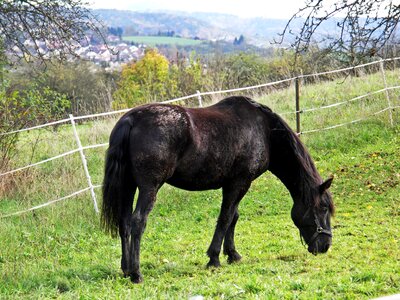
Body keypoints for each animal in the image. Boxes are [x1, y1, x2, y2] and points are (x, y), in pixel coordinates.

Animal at [101, 96, 334, 284]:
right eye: (323, 208)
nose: (325, 246)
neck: (265, 131)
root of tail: (131, 120)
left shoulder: (233, 184)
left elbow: (233, 217)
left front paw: (232, 254)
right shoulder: (240, 183)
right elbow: (225, 218)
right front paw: (214, 258)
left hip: (128, 186)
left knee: (124, 223)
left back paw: (125, 269)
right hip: (149, 188)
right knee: (138, 222)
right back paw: (136, 273)